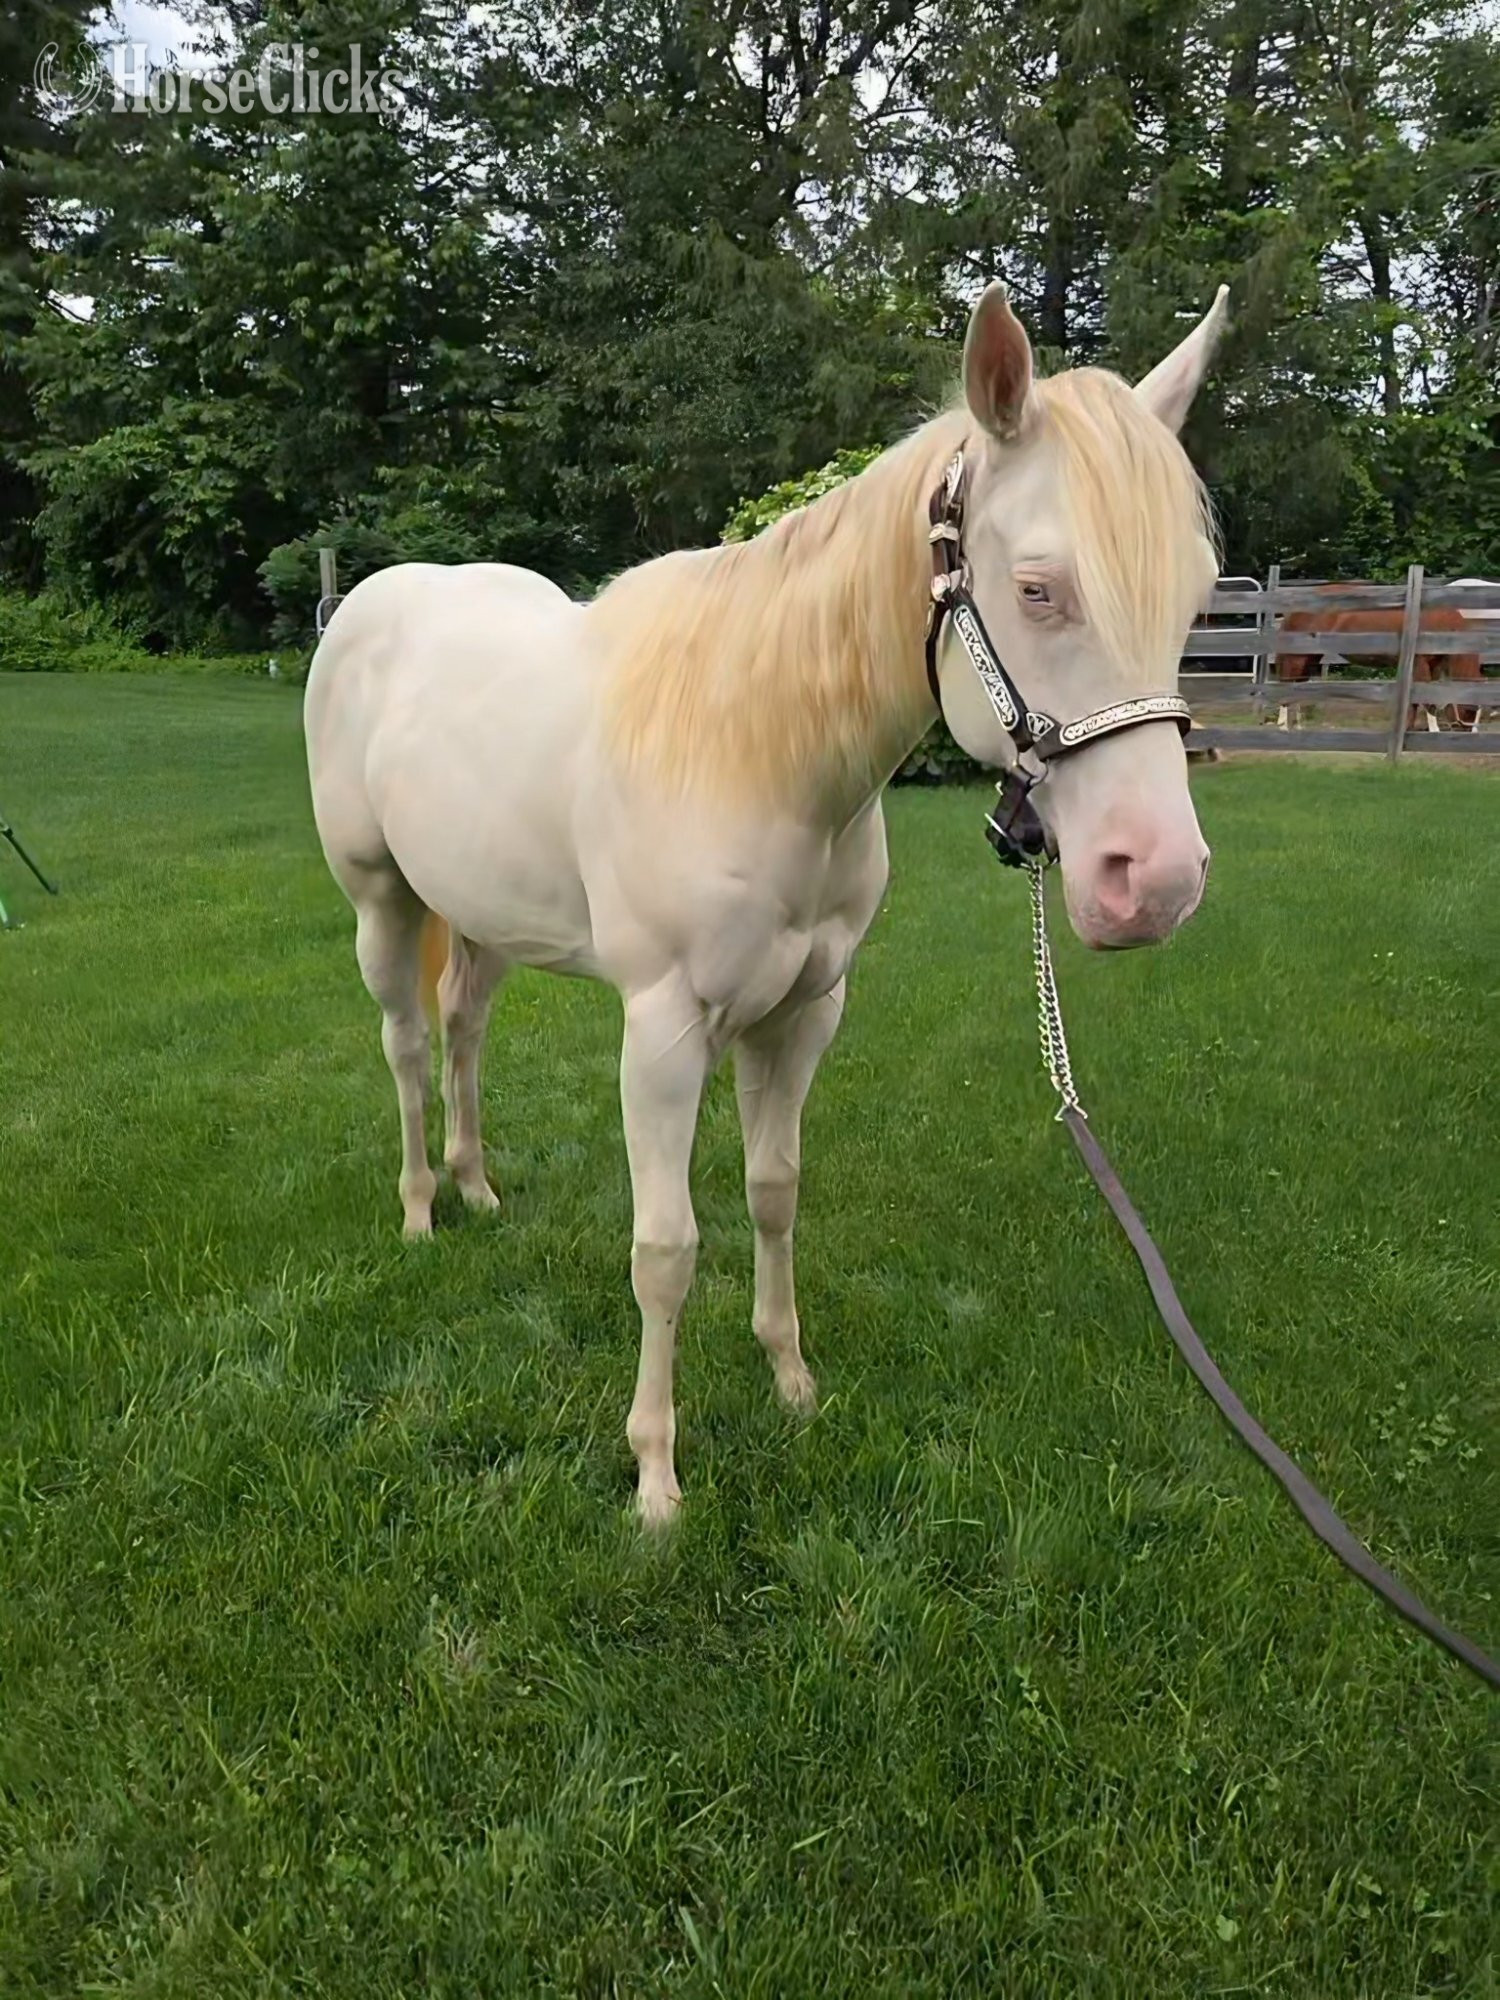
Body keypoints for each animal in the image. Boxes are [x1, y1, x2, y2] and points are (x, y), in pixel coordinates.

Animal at [303, 282, 1228, 1523]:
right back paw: (417, 1210)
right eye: (1039, 588)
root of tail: (368, 602)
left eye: (1198, 593)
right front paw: (655, 1475)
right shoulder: (663, 1029)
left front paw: (790, 1378)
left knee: (461, 1033)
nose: (1156, 879)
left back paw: (477, 1186)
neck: (760, 747)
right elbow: (665, 1246)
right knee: (405, 1042)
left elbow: (773, 1191)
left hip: (485, 917)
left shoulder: (800, 1013)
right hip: (381, 900)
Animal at [1279, 588, 1482, 730]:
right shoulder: (1419, 664)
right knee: (1286, 684)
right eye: (1470, 710)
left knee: (1297, 686)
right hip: (1297, 658)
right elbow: (1427, 700)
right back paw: (1283, 726)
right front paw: (1434, 731)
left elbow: (1416, 699)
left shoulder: (1434, 665)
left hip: (1310, 657)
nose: (1468, 733)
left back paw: (1298, 726)